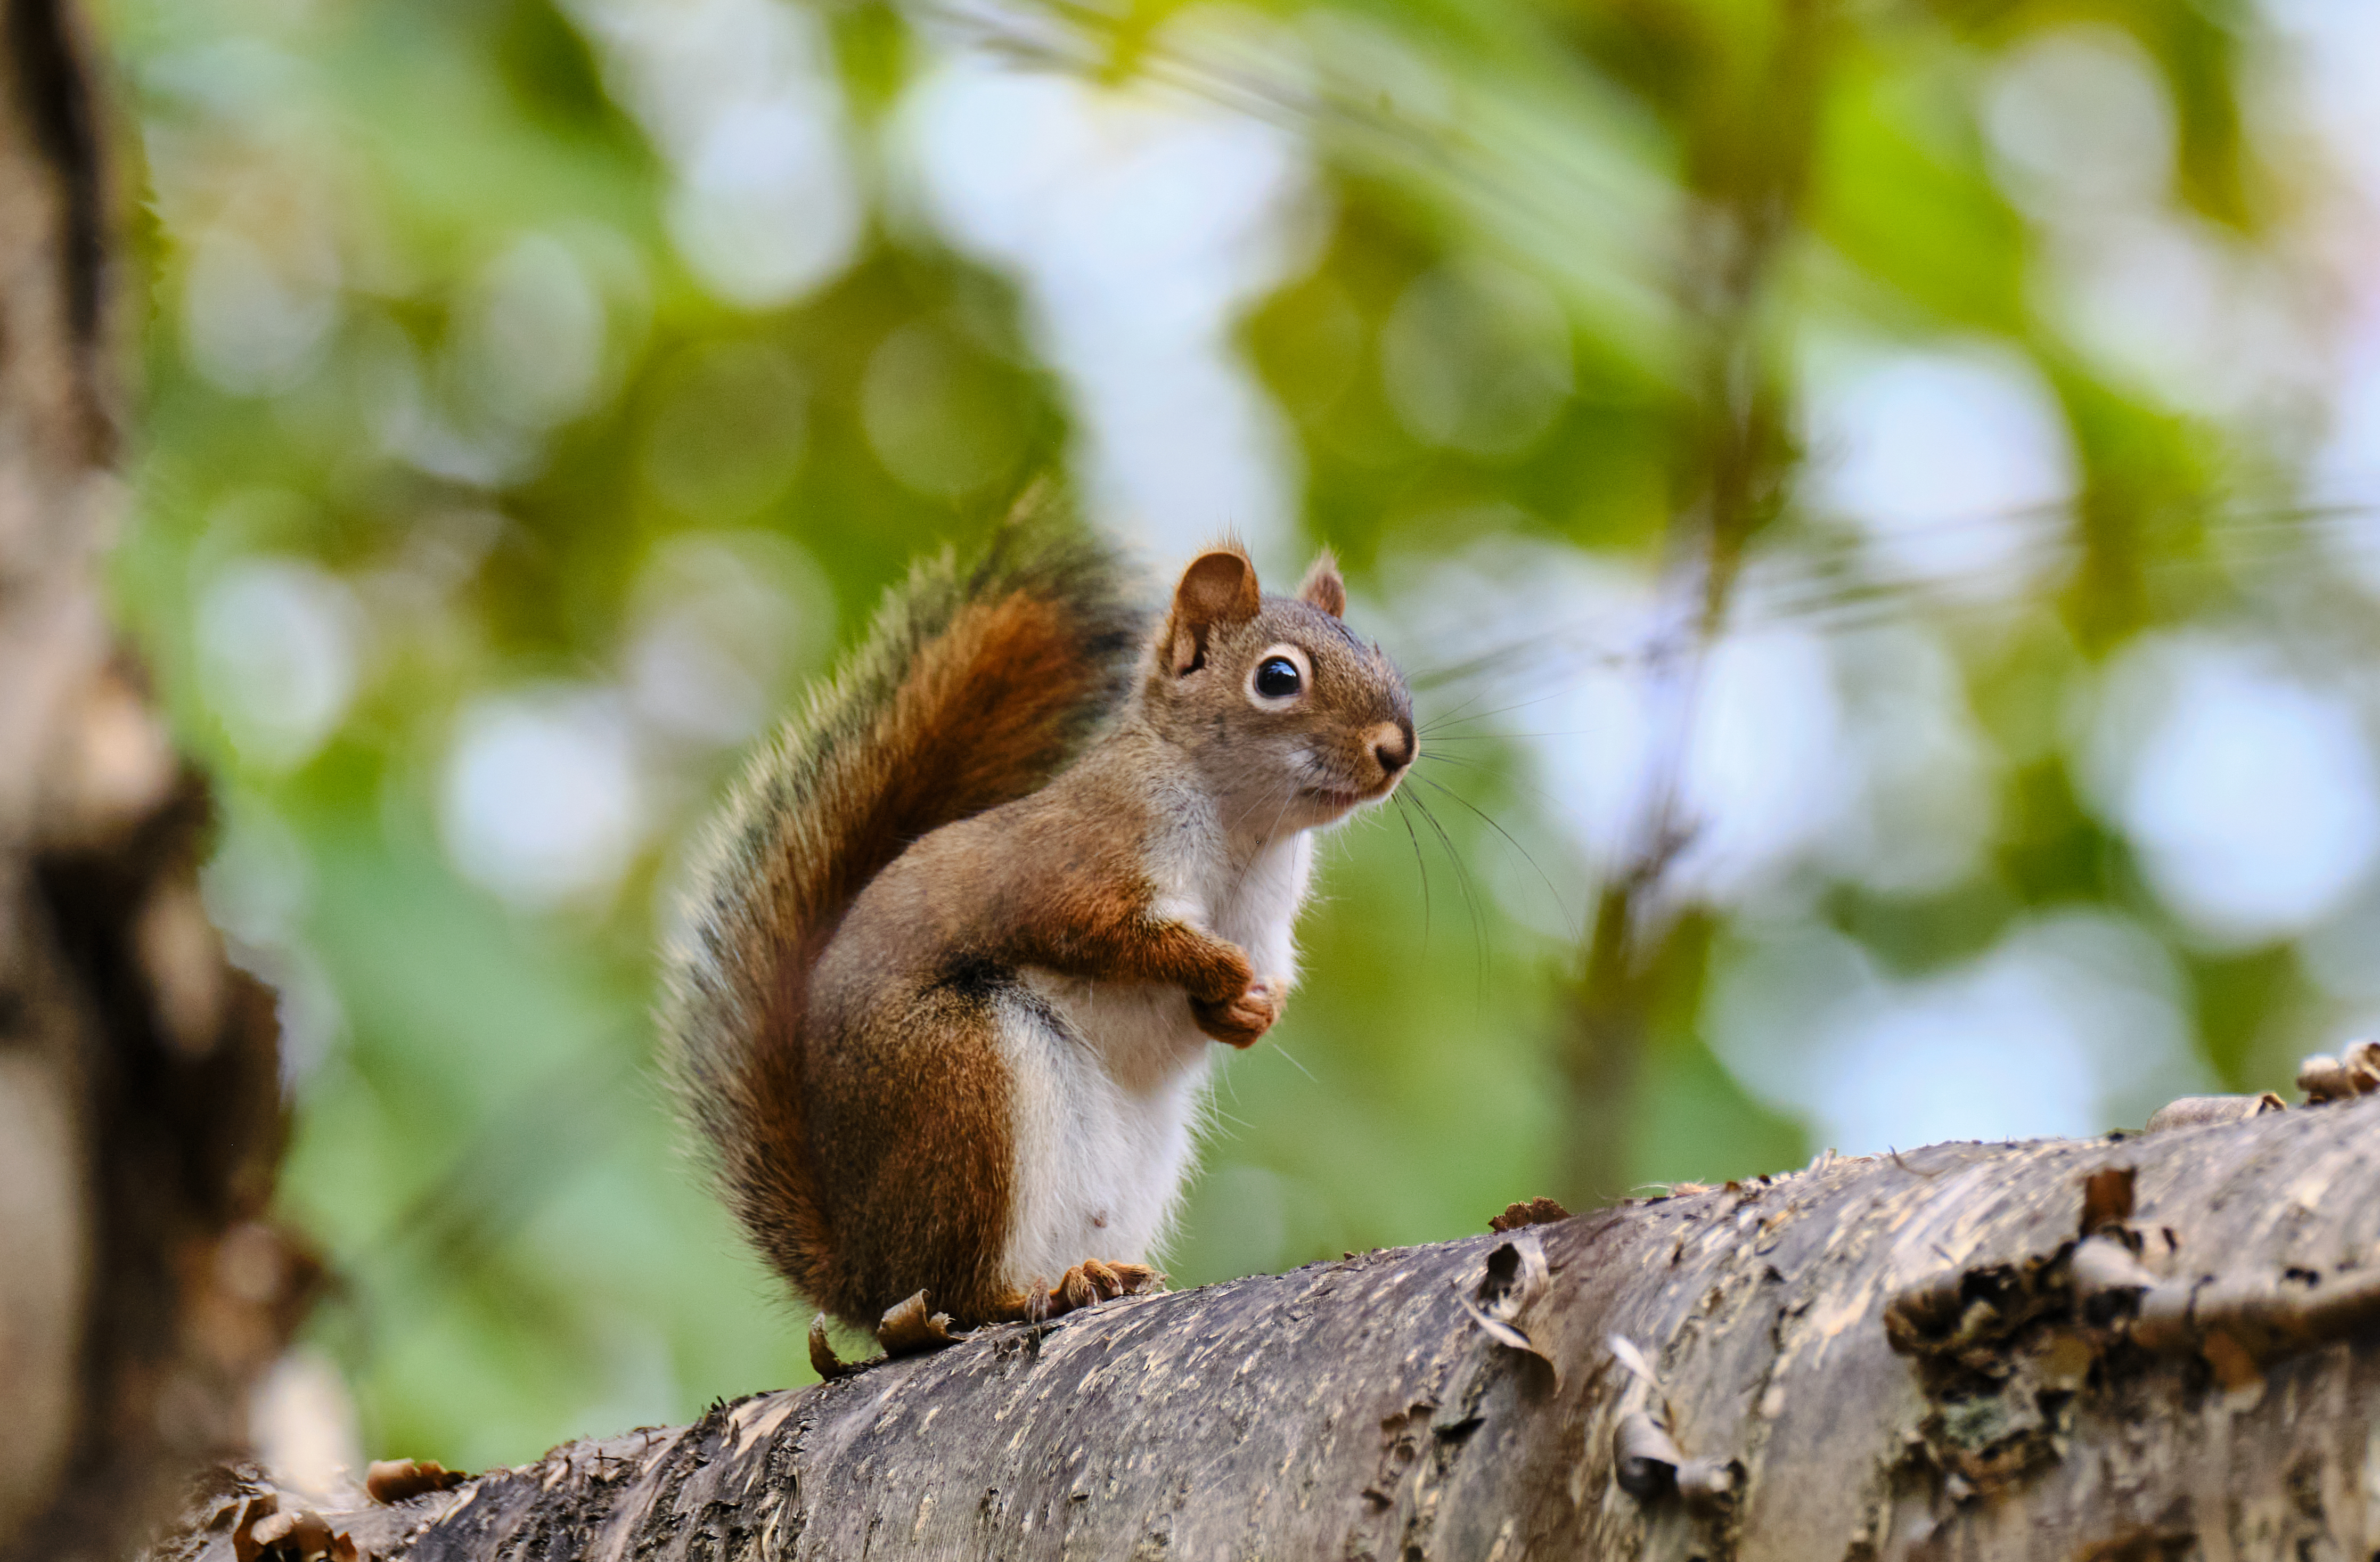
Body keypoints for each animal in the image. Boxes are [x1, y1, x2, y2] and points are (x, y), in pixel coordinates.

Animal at [661, 497, 1409, 1343]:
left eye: (1378, 652)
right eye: (1277, 677)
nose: (1398, 747)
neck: (1247, 828)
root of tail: (861, 1270)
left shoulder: (1268, 919)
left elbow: (1263, 982)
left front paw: (1251, 1009)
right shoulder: (1079, 863)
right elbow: (1106, 933)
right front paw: (1217, 969)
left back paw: (1100, 1275)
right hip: (964, 1086)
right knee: (955, 1290)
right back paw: (1032, 1292)